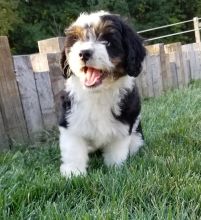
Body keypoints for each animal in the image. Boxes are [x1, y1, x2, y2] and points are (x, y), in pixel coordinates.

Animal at [59, 11, 146, 178]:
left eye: (107, 42)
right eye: (76, 40)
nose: (84, 53)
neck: (98, 93)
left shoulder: (124, 122)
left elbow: (117, 148)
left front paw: (115, 167)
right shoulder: (70, 119)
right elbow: (73, 147)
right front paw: (74, 172)